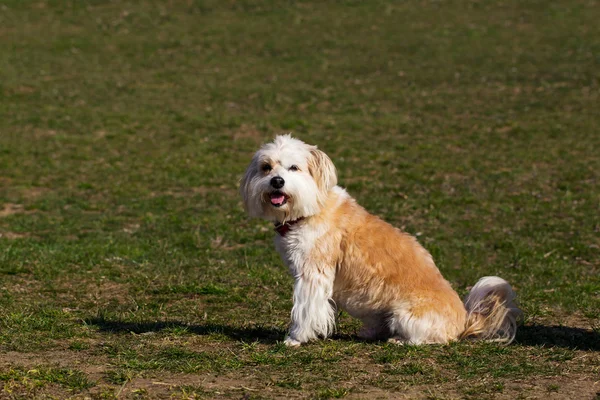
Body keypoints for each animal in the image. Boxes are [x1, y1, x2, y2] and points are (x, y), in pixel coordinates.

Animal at [239, 134, 520, 346]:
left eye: (294, 167)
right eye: (266, 167)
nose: (277, 181)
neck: (310, 208)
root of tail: (465, 320)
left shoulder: (312, 276)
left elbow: (305, 311)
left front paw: (296, 338)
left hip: (406, 316)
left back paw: (399, 340)